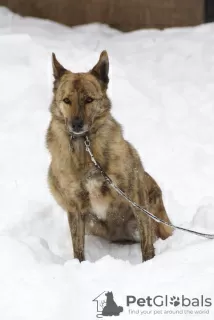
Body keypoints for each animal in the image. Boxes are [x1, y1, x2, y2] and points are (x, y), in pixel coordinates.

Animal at [45, 49, 172, 260]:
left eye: (89, 100)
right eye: (67, 100)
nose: (76, 124)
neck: (86, 148)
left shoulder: (136, 197)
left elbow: (146, 244)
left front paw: (149, 263)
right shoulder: (75, 207)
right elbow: (78, 248)